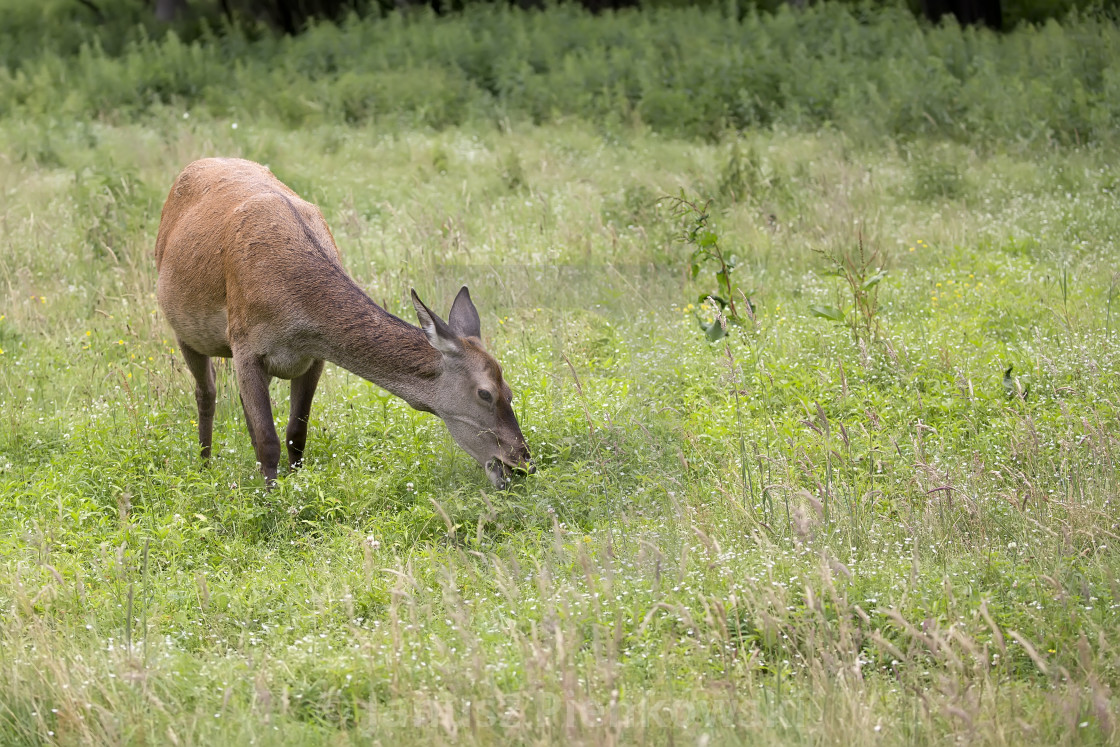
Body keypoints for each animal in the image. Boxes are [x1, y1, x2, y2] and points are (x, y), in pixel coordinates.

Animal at [154, 156, 533, 490]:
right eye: (485, 393)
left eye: (510, 391)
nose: (522, 462)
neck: (292, 308)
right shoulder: (246, 344)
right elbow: (268, 440)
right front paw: (271, 502)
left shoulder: (315, 357)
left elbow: (295, 434)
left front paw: (295, 485)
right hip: (184, 328)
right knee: (206, 394)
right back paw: (204, 467)